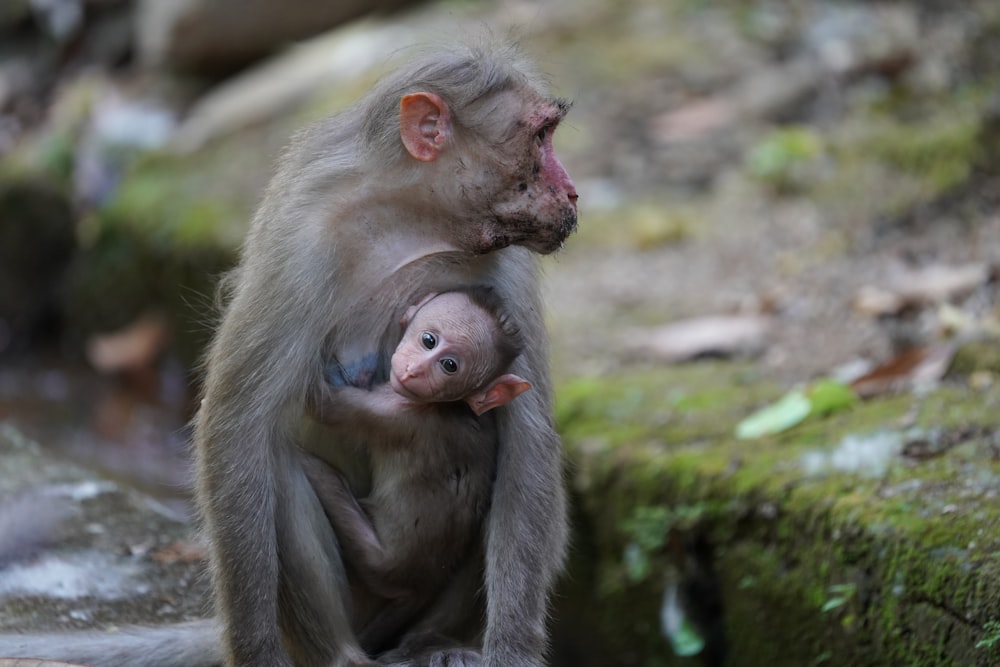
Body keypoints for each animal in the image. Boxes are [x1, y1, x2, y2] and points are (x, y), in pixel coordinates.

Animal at [304, 286, 532, 652]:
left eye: (450, 366)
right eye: (428, 340)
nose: (415, 371)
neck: (441, 405)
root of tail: (423, 585)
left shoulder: (389, 412)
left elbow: (320, 402)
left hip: (381, 565)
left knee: (318, 475)